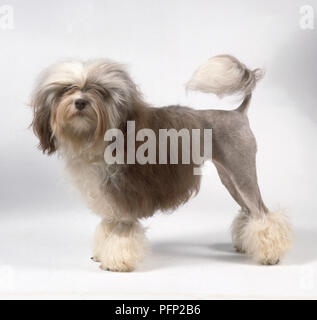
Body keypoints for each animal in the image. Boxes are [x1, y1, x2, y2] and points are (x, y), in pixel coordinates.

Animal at [30, 55, 292, 272]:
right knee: (249, 211)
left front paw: (117, 262)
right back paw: (246, 244)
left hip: (242, 172)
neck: (98, 137)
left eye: (98, 90)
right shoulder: (109, 197)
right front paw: (102, 252)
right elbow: (108, 226)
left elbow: (122, 231)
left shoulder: (125, 195)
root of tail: (238, 113)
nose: (80, 102)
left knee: (262, 213)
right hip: (230, 177)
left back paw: (270, 255)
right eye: (68, 89)